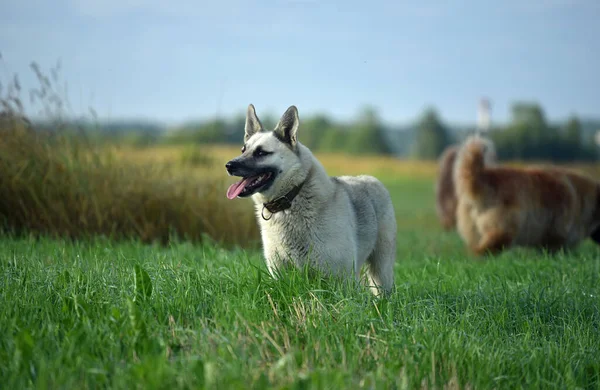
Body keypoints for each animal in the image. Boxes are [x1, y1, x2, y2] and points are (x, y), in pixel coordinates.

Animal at [225, 104, 398, 296]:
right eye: (243, 150)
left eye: (261, 153)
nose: (229, 165)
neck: (292, 197)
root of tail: (370, 179)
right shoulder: (280, 273)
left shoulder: (340, 278)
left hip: (381, 267)